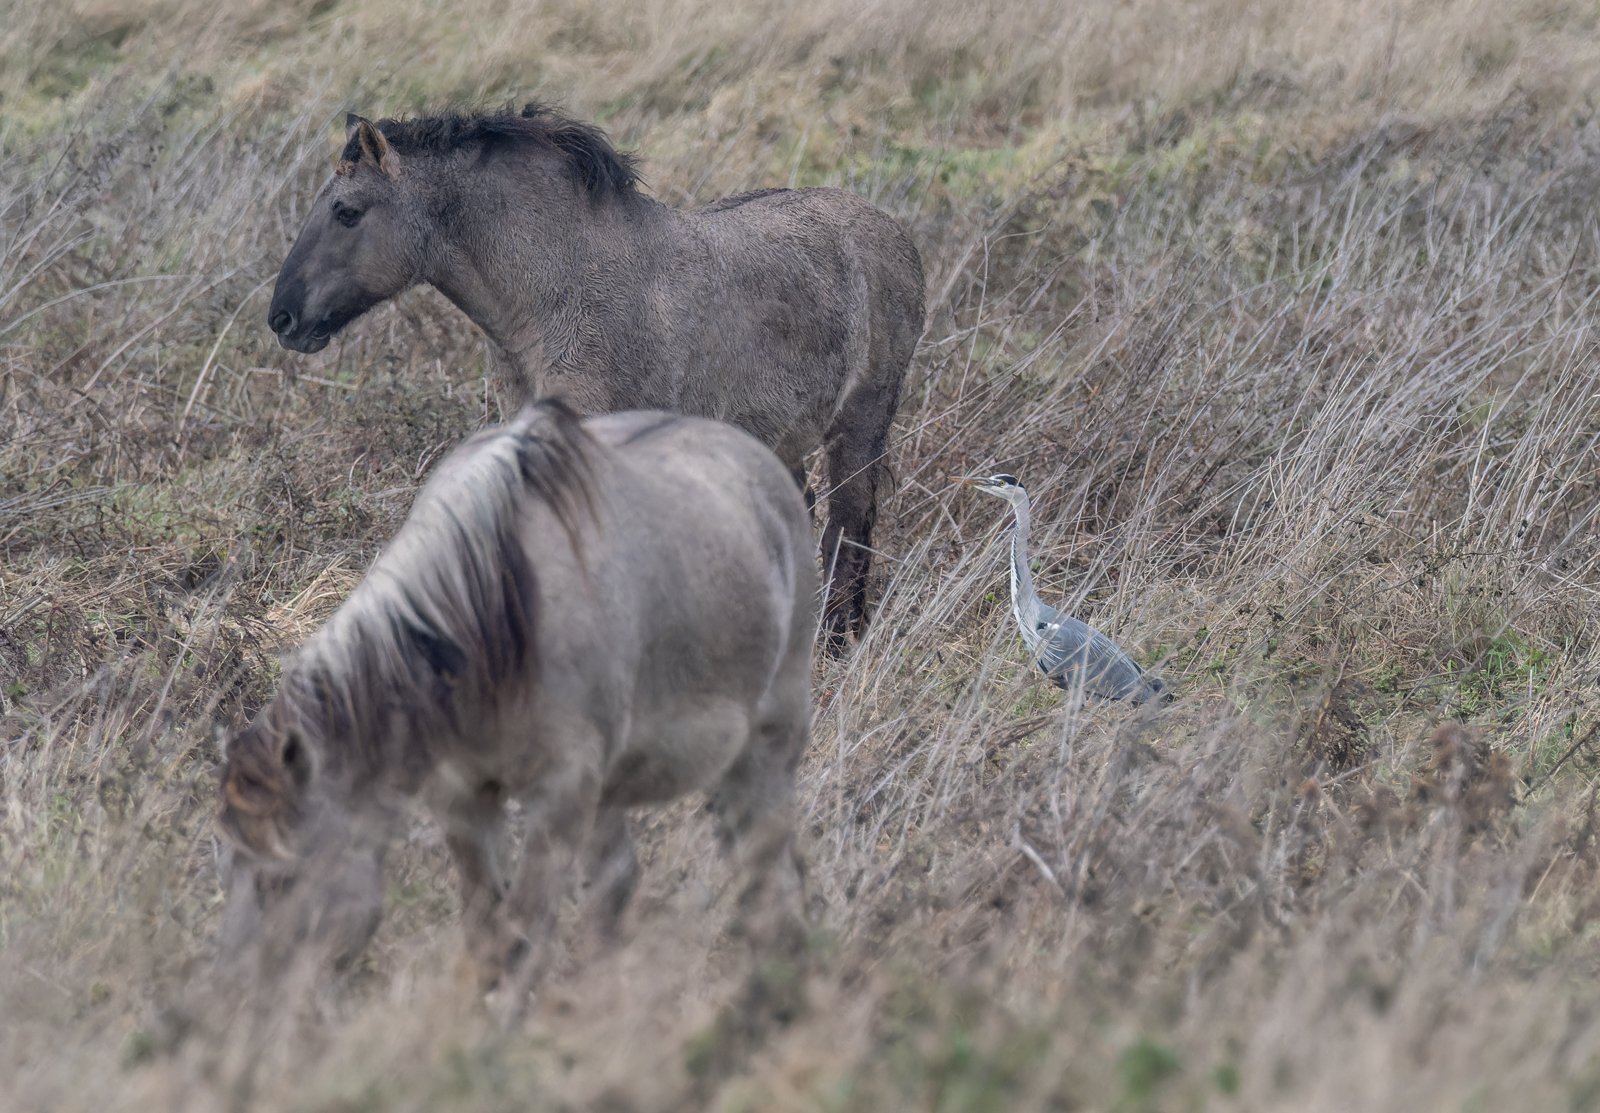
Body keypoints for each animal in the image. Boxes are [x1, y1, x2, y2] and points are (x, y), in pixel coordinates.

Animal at [216, 401, 812, 1010]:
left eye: (280, 879)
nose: (235, 1000)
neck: (494, 619)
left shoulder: (561, 795)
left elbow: (520, 932)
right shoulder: (463, 800)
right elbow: (488, 932)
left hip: (768, 741)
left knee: (770, 874)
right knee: (619, 882)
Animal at [267, 108, 921, 649]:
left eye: (347, 211)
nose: (283, 318)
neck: (558, 292)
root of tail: (893, 232)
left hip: (858, 431)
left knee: (846, 532)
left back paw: (834, 647)